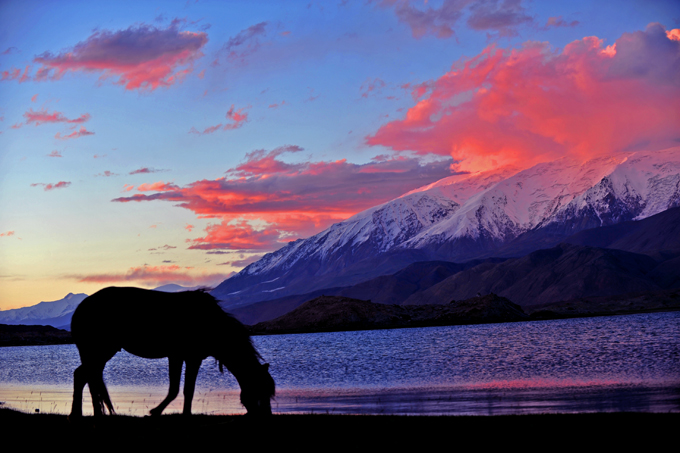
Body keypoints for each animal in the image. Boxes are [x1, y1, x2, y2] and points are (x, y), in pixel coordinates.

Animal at [67, 286, 274, 416]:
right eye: (260, 391)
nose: (267, 416)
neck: (211, 323)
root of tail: (80, 309)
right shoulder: (185, 357)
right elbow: (180, 389)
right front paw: (159, 411)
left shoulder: (186, 358)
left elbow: (183, 389)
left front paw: (175, 412)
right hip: (100, 351)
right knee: (85, 377)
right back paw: (81, 414)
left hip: (98, 354)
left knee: (87, 378)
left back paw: (89, 414)